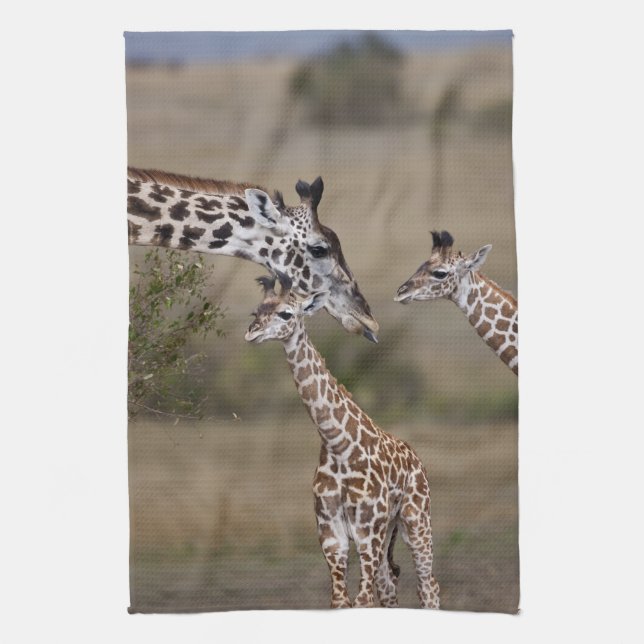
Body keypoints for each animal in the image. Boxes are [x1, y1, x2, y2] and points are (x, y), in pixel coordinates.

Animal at [245, 272, 440, 609]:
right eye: (256, 311)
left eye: (286, 314)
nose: (251, 333)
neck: (339, 444)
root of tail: (416, 458)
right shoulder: (330, 533)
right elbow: (341, 601)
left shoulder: (367, 531)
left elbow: (363, 600)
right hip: (388, 530)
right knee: (389, 585)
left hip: (415, 520)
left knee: (428, 586)